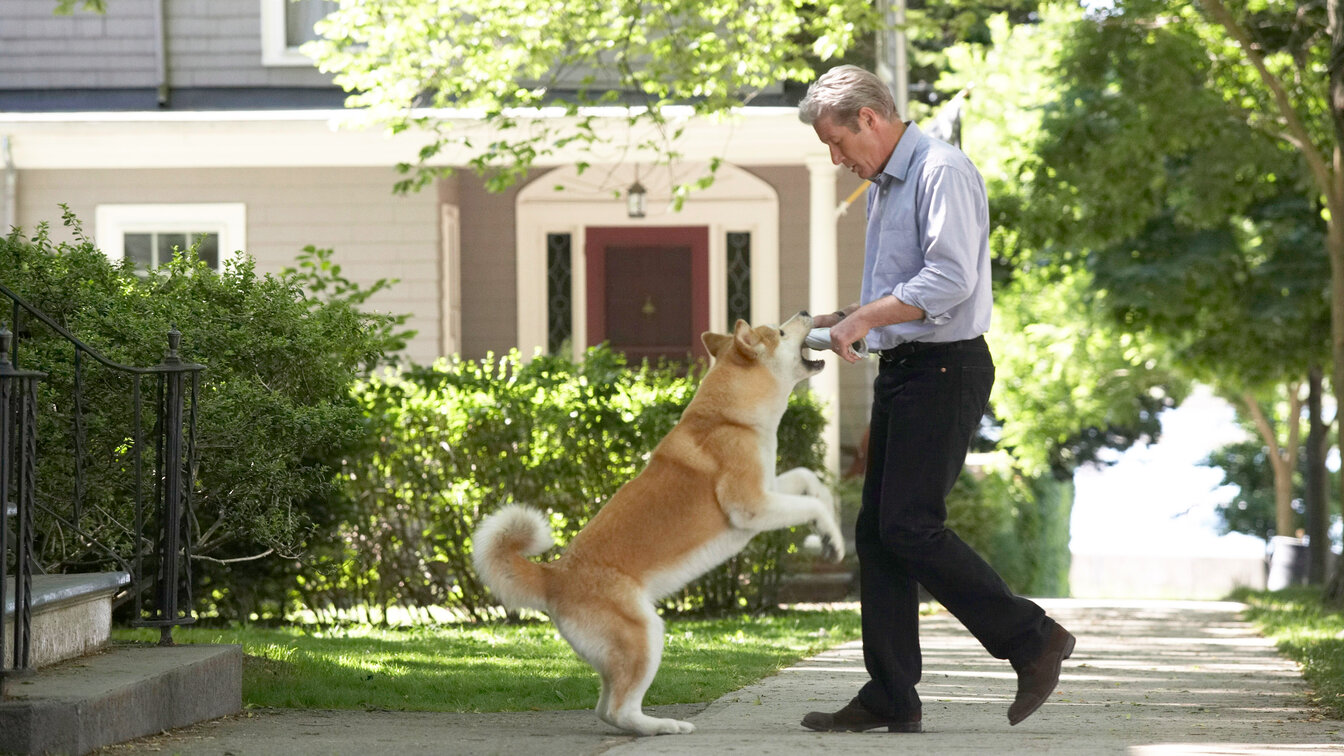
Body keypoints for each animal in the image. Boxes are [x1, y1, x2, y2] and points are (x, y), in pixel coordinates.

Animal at [473, 309, 838, 731]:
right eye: (779, 331)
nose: (807, 313)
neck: (730, 418)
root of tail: (552, 575)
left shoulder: (769, 487)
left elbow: (808, 481)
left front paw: (828, 527)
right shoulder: (752, 505)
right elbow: (810, 505)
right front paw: (830, 535)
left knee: (606, 709)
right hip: (645, 635)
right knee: (620, 710)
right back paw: (664, 727)